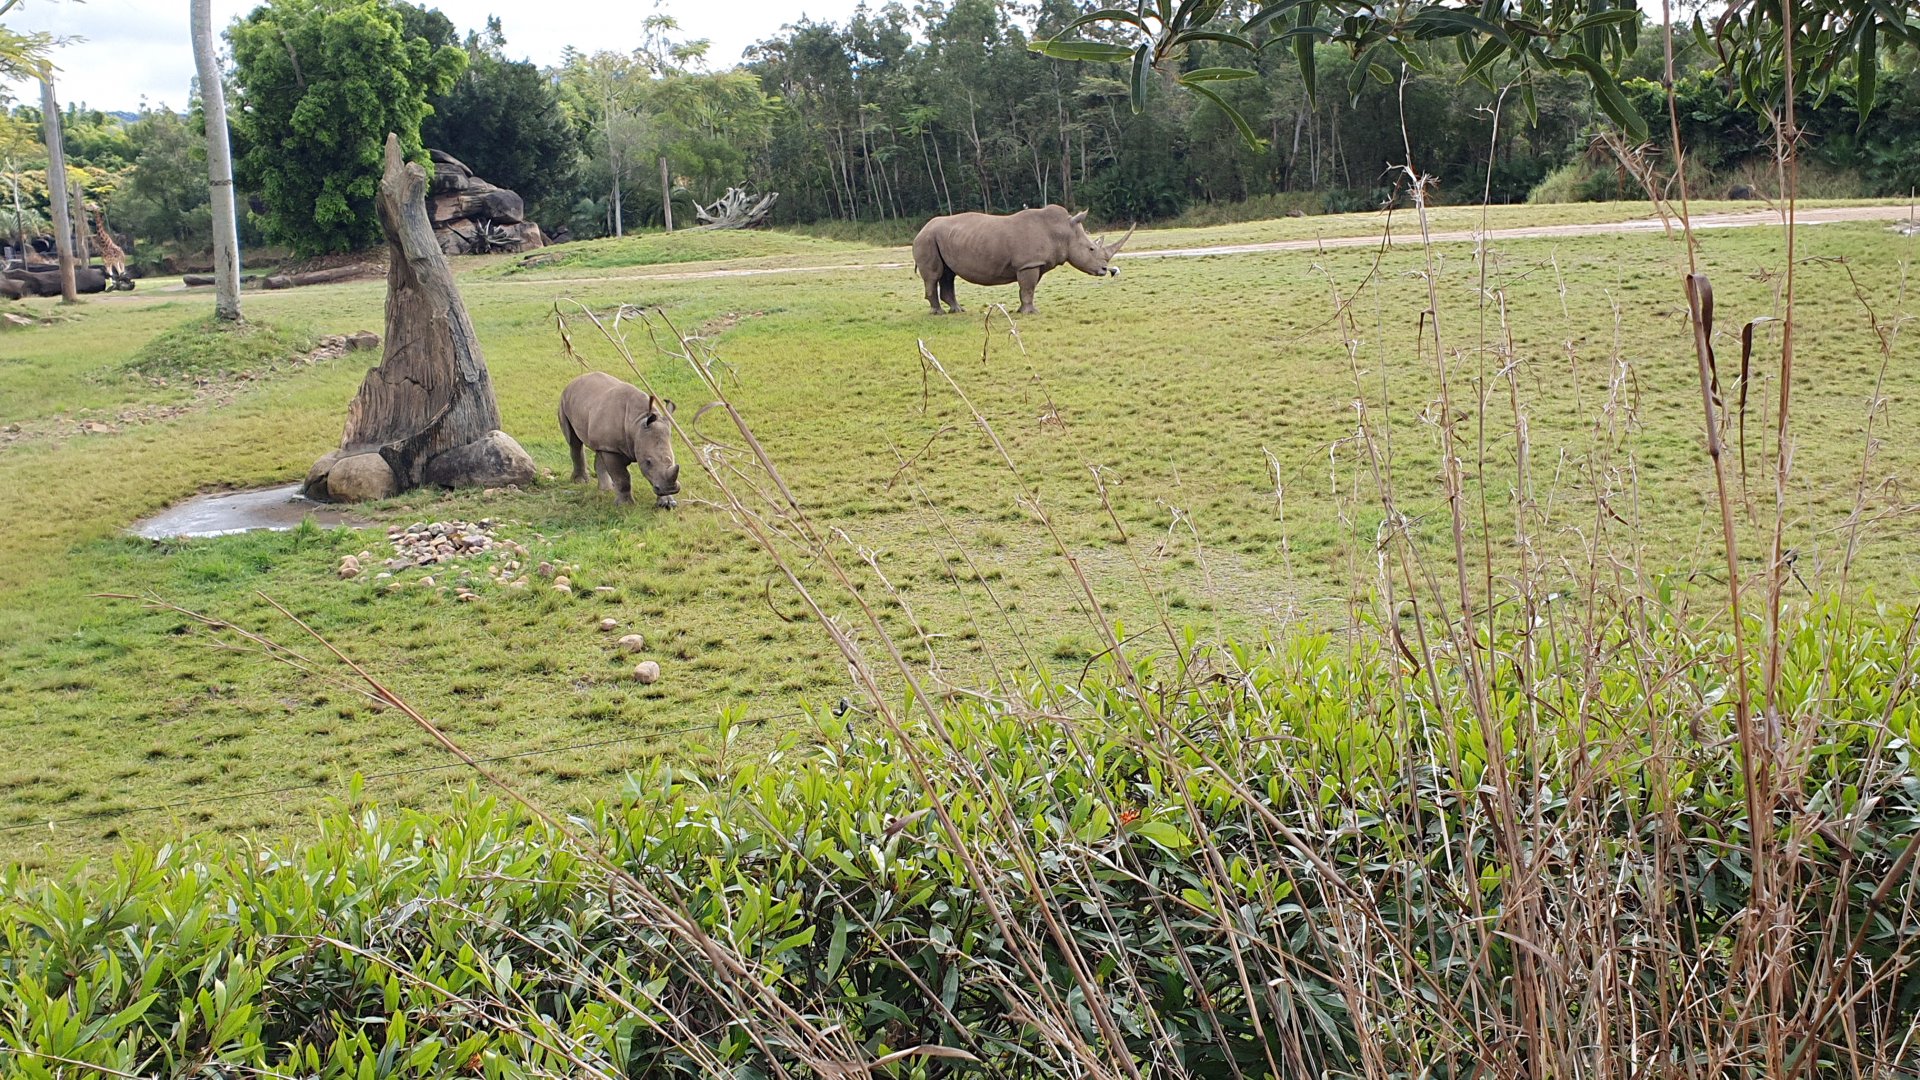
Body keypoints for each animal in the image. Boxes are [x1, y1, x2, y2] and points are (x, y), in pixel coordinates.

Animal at [558, 371, 681, 508]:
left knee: (598, 449)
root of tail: (576, 379)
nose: (670, 489)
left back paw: (607, 489)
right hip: (564, 401)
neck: (637, 424)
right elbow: (622, 478)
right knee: (574, 442)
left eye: (672, 460)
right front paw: (625, 506)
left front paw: (668, 503)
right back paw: (580, 482)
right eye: (648, 462)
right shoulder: (613, 449)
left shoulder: (615, 444)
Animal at [912, 205, 1133, 315]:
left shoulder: (1035, 264)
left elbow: (1026, 289)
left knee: (948, 275)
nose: (1105, 270)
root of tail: (920, 229)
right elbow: (1028, 288)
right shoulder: (1029, 263)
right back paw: (938, 313)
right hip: (927, 239)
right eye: (1091, 249)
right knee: (934, 275)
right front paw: (1031, 313)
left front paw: (1022, 310)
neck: (1062, 232)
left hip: (940, 238)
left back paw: (957, 310)